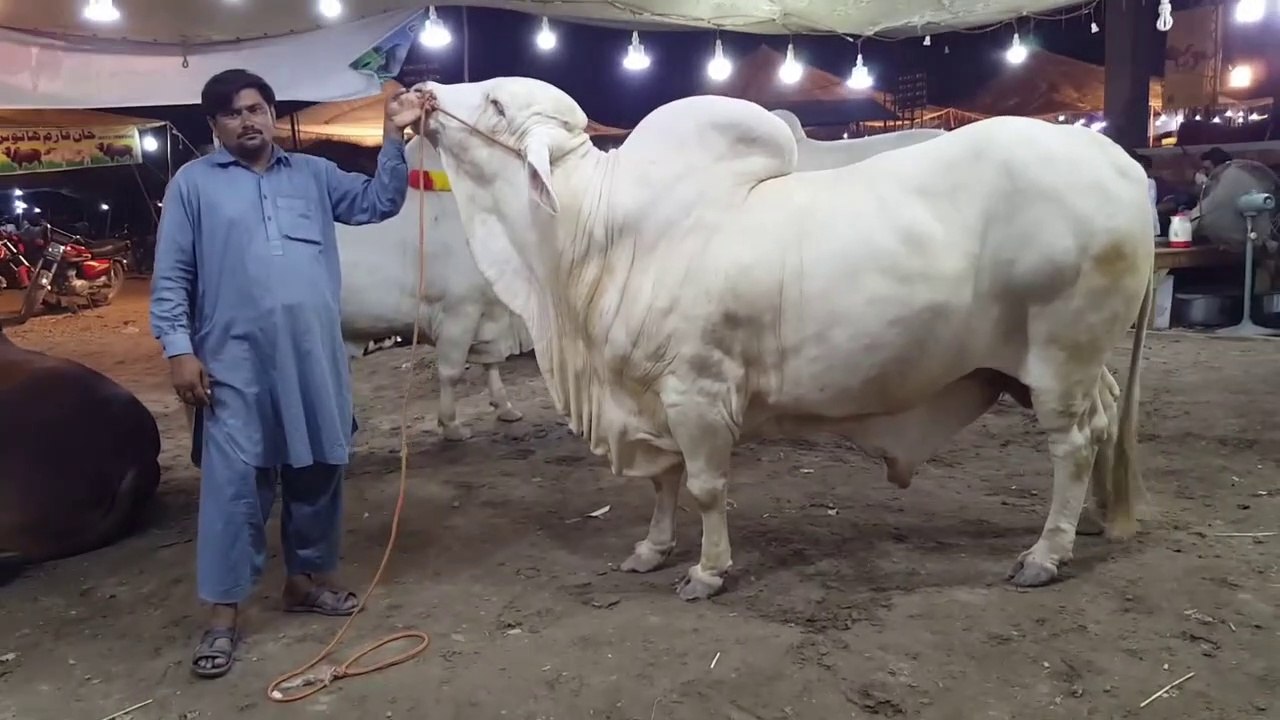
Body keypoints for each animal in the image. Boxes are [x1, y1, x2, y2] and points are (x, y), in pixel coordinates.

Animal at [336, 136, 533, 441]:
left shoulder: (488, 312)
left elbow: (491, 362)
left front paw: (504, 407)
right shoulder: (459, 311)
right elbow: (451, 372)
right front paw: (451, 424)